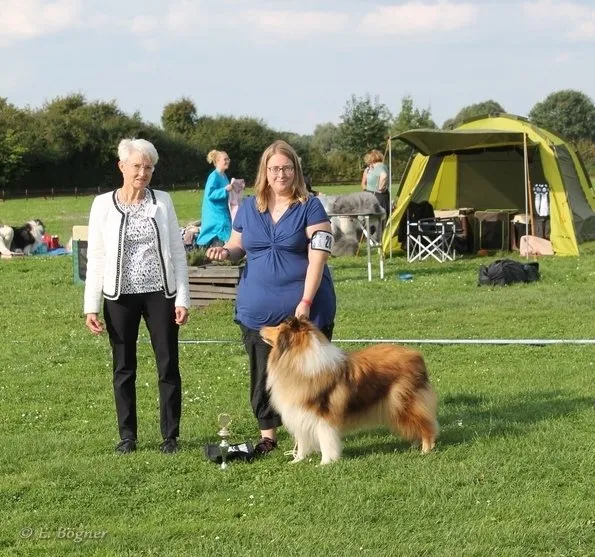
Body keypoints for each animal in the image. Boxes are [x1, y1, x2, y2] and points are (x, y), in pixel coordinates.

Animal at [260, 316, 438, 465]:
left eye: (278, 328)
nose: (260, 327)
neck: (297, 359)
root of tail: (417, 356)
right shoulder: (300, 414)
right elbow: (302, 441)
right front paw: (297, 460)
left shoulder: (323, 417)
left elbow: (326, 441)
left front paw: (325, 463)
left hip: (403, 404)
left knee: (427, 425)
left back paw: (425, 450)